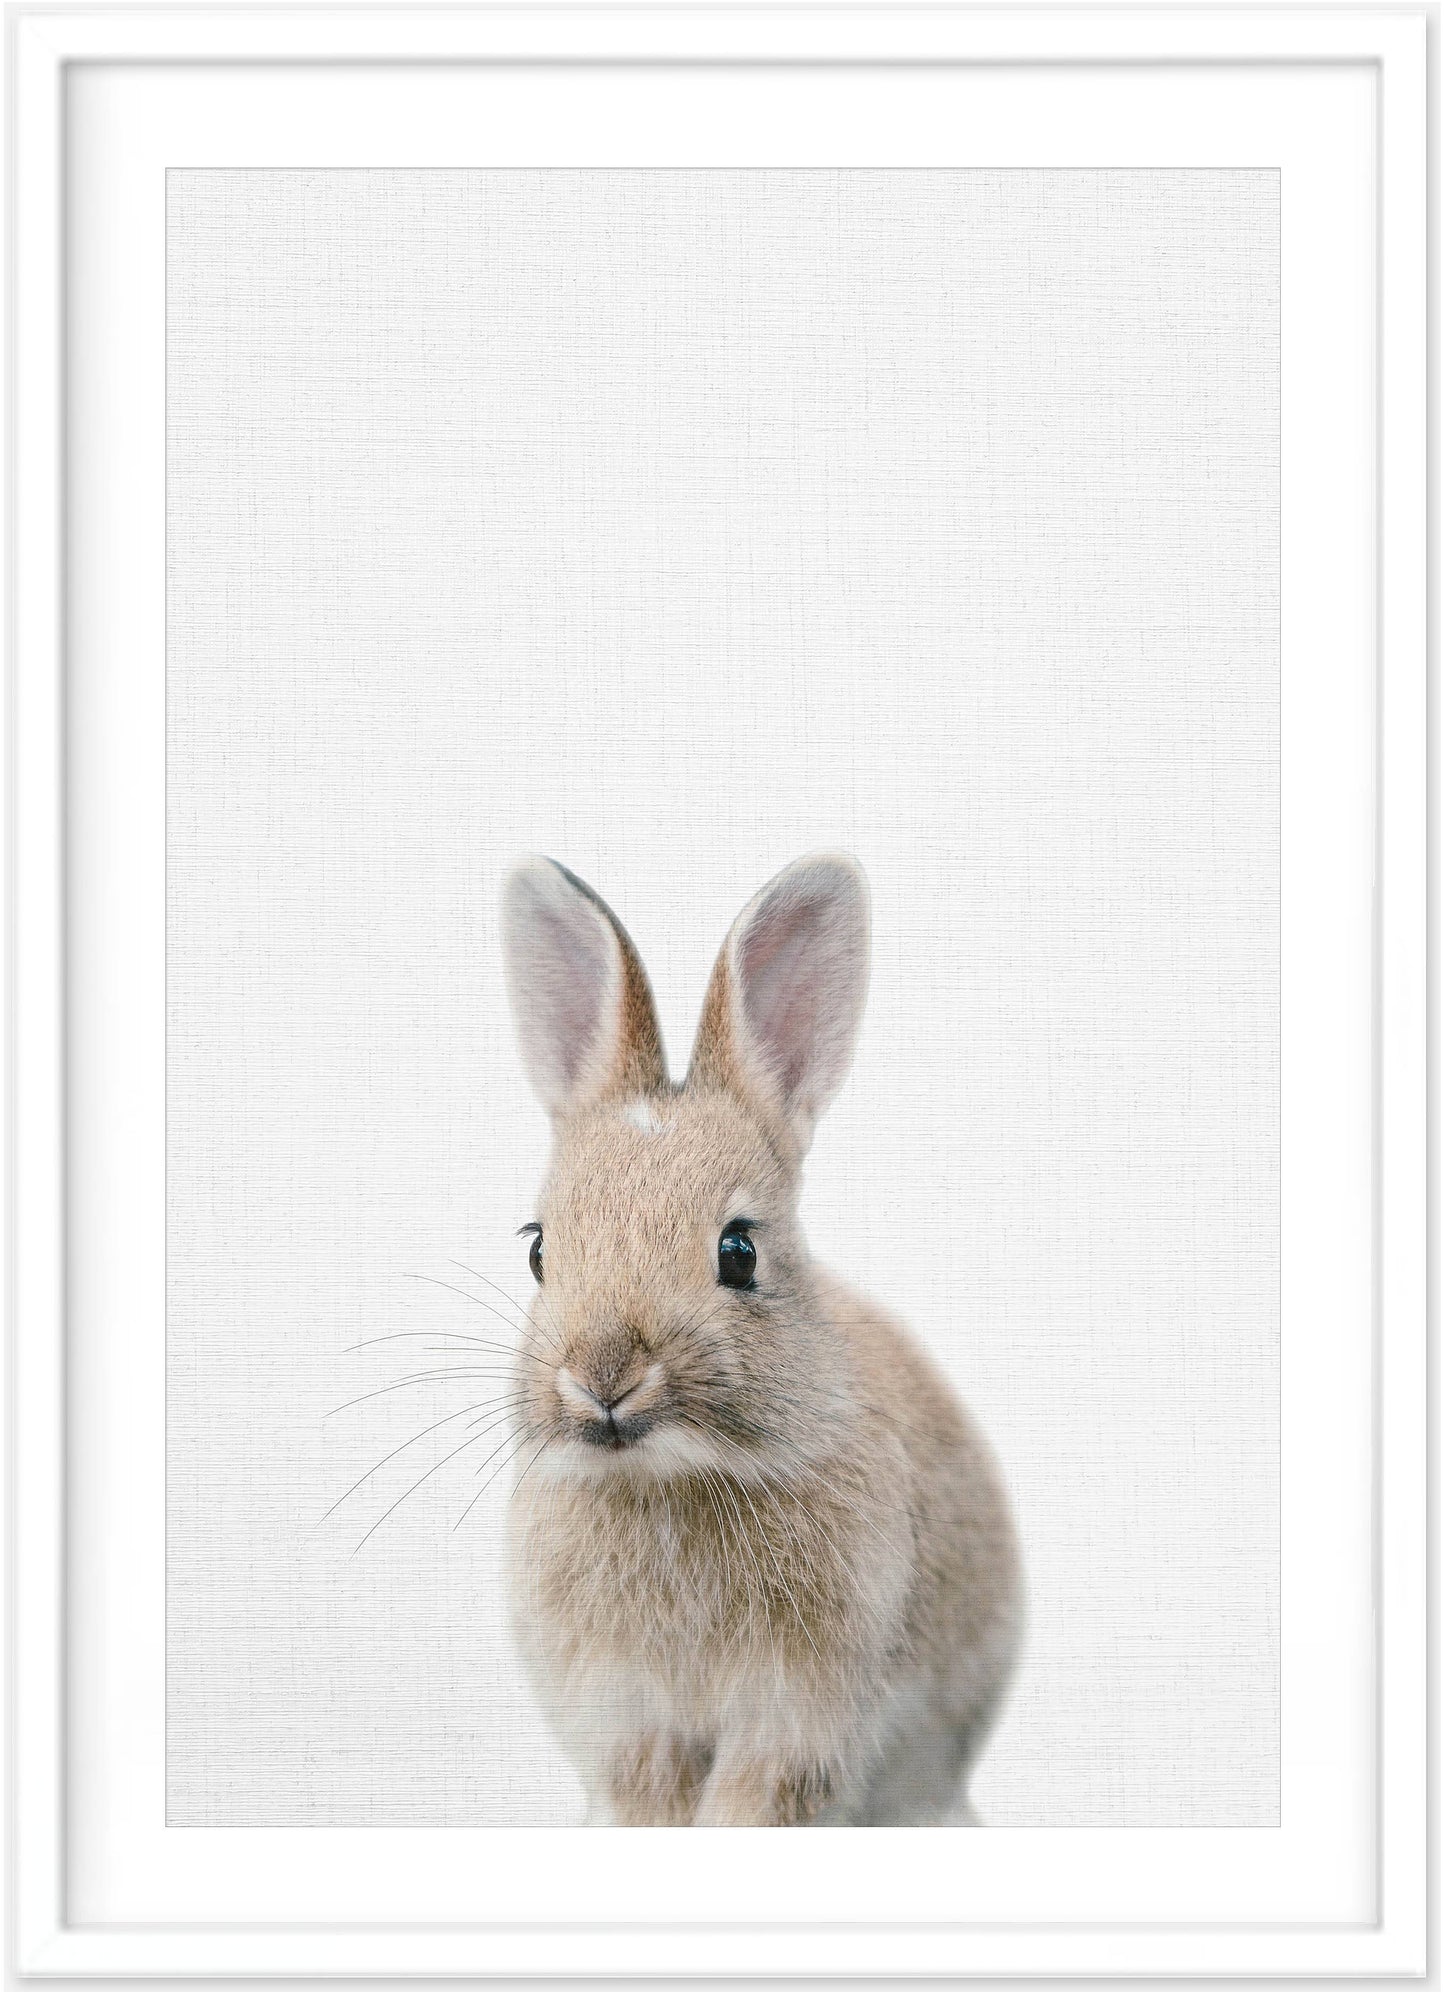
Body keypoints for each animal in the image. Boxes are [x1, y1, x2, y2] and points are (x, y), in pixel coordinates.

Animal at [499, 853, 1021, 1827]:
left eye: (737, 1252)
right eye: (539, 1250)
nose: (603, 1376)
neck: (669, 1477)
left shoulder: (798, 1718)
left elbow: (753, 1802)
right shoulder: (631, 1720)